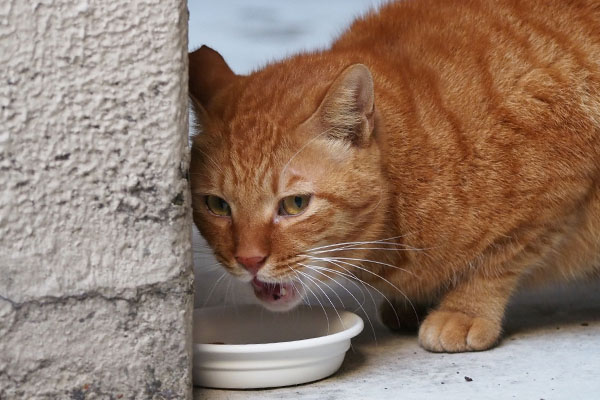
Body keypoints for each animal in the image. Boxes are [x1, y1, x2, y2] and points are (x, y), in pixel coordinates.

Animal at [190, 0, 600, 352]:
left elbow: (499, 259)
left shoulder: (558, 194)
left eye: (295, 205)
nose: (249, 260)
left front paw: (463, 310)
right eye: (217, 206)